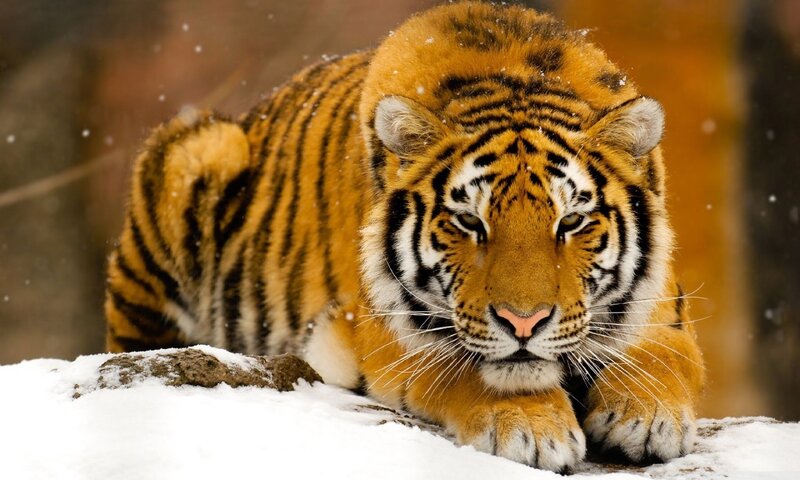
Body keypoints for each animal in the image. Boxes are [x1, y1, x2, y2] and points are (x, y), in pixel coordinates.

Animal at [105, 1, 705, 471]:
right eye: (469, 222)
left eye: (571, 222)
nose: (523, 323)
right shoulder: (382, 329)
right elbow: (467, 366)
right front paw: (531, 427)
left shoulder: (663, 309)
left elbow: (663, 357)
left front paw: (648, 417)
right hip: (198, 152)